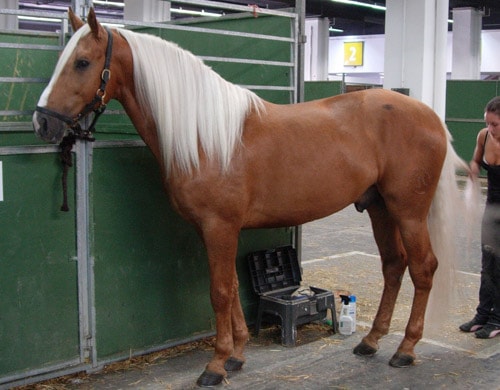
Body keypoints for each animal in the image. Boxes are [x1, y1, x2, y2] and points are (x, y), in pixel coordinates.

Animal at [35, 7, 468, 388]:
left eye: (82, 62)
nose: (43, 122)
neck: (204, 135)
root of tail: (429, 115)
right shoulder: (216, 230)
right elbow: (230, 286)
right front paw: (237, 355)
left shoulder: (219, 226)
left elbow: (220, 292)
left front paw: (215, 365)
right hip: (379, 208)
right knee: (393, 266)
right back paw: (371, 341)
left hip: (408, 212)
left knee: (423, 269)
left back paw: (406, 348)